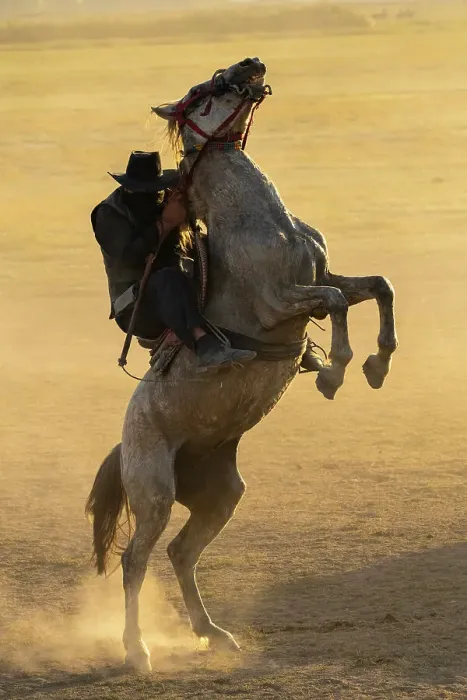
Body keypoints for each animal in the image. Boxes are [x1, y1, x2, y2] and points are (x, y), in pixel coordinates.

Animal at [86, 57, 398, 673]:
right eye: (203, 90)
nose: (252, 65)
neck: (263, 222)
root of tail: (126, 440)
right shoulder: (283, 300)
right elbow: (335, 303)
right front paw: (335, 370)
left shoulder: (322, 275)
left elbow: (375, 287)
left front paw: (377, 363)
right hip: (155, 492)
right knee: (136, 560)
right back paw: (138, 651)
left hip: (221, 494)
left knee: (181, 552)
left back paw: (213, 633)